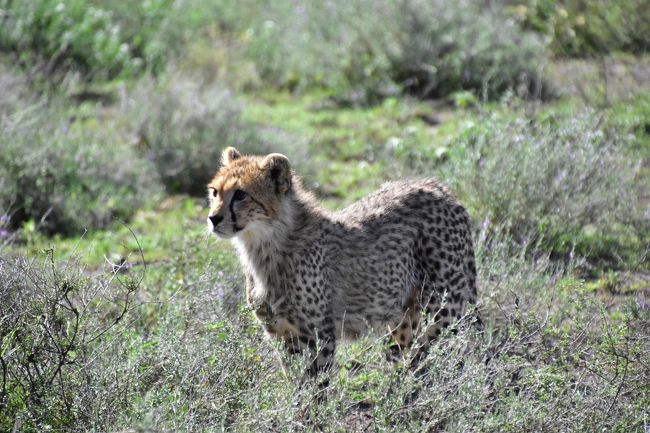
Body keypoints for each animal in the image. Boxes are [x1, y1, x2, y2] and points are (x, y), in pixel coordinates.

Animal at [206, 148, 476, 374]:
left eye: (241, 194)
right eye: (215, 192)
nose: (213, 218)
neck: (265, 243)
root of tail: (437, 186)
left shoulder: (318, 335)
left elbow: (313, 391)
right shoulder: (282, 335)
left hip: (446, 310)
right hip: (405, 317)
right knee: (410, 361)